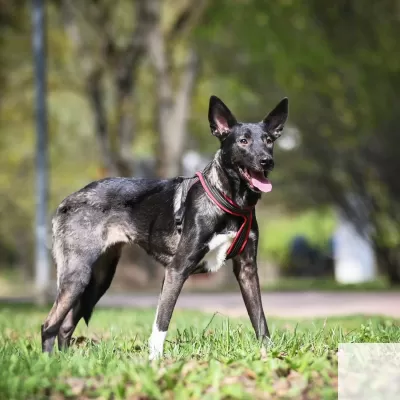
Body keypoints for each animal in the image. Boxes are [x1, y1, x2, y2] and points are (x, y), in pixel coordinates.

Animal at [41, 94, 288, 360]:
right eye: (243, 141)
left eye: (269, 140)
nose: (267, 161)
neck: (230, 202)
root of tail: (68, 200)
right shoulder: (176, 270)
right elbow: (161, 323)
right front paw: (155, 361)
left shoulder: (247, 270)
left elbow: (259, 319)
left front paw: (270, 354)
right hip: (77, 275)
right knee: (49, 325)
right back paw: (48, 362)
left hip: (98, 279)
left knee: (65, 326)